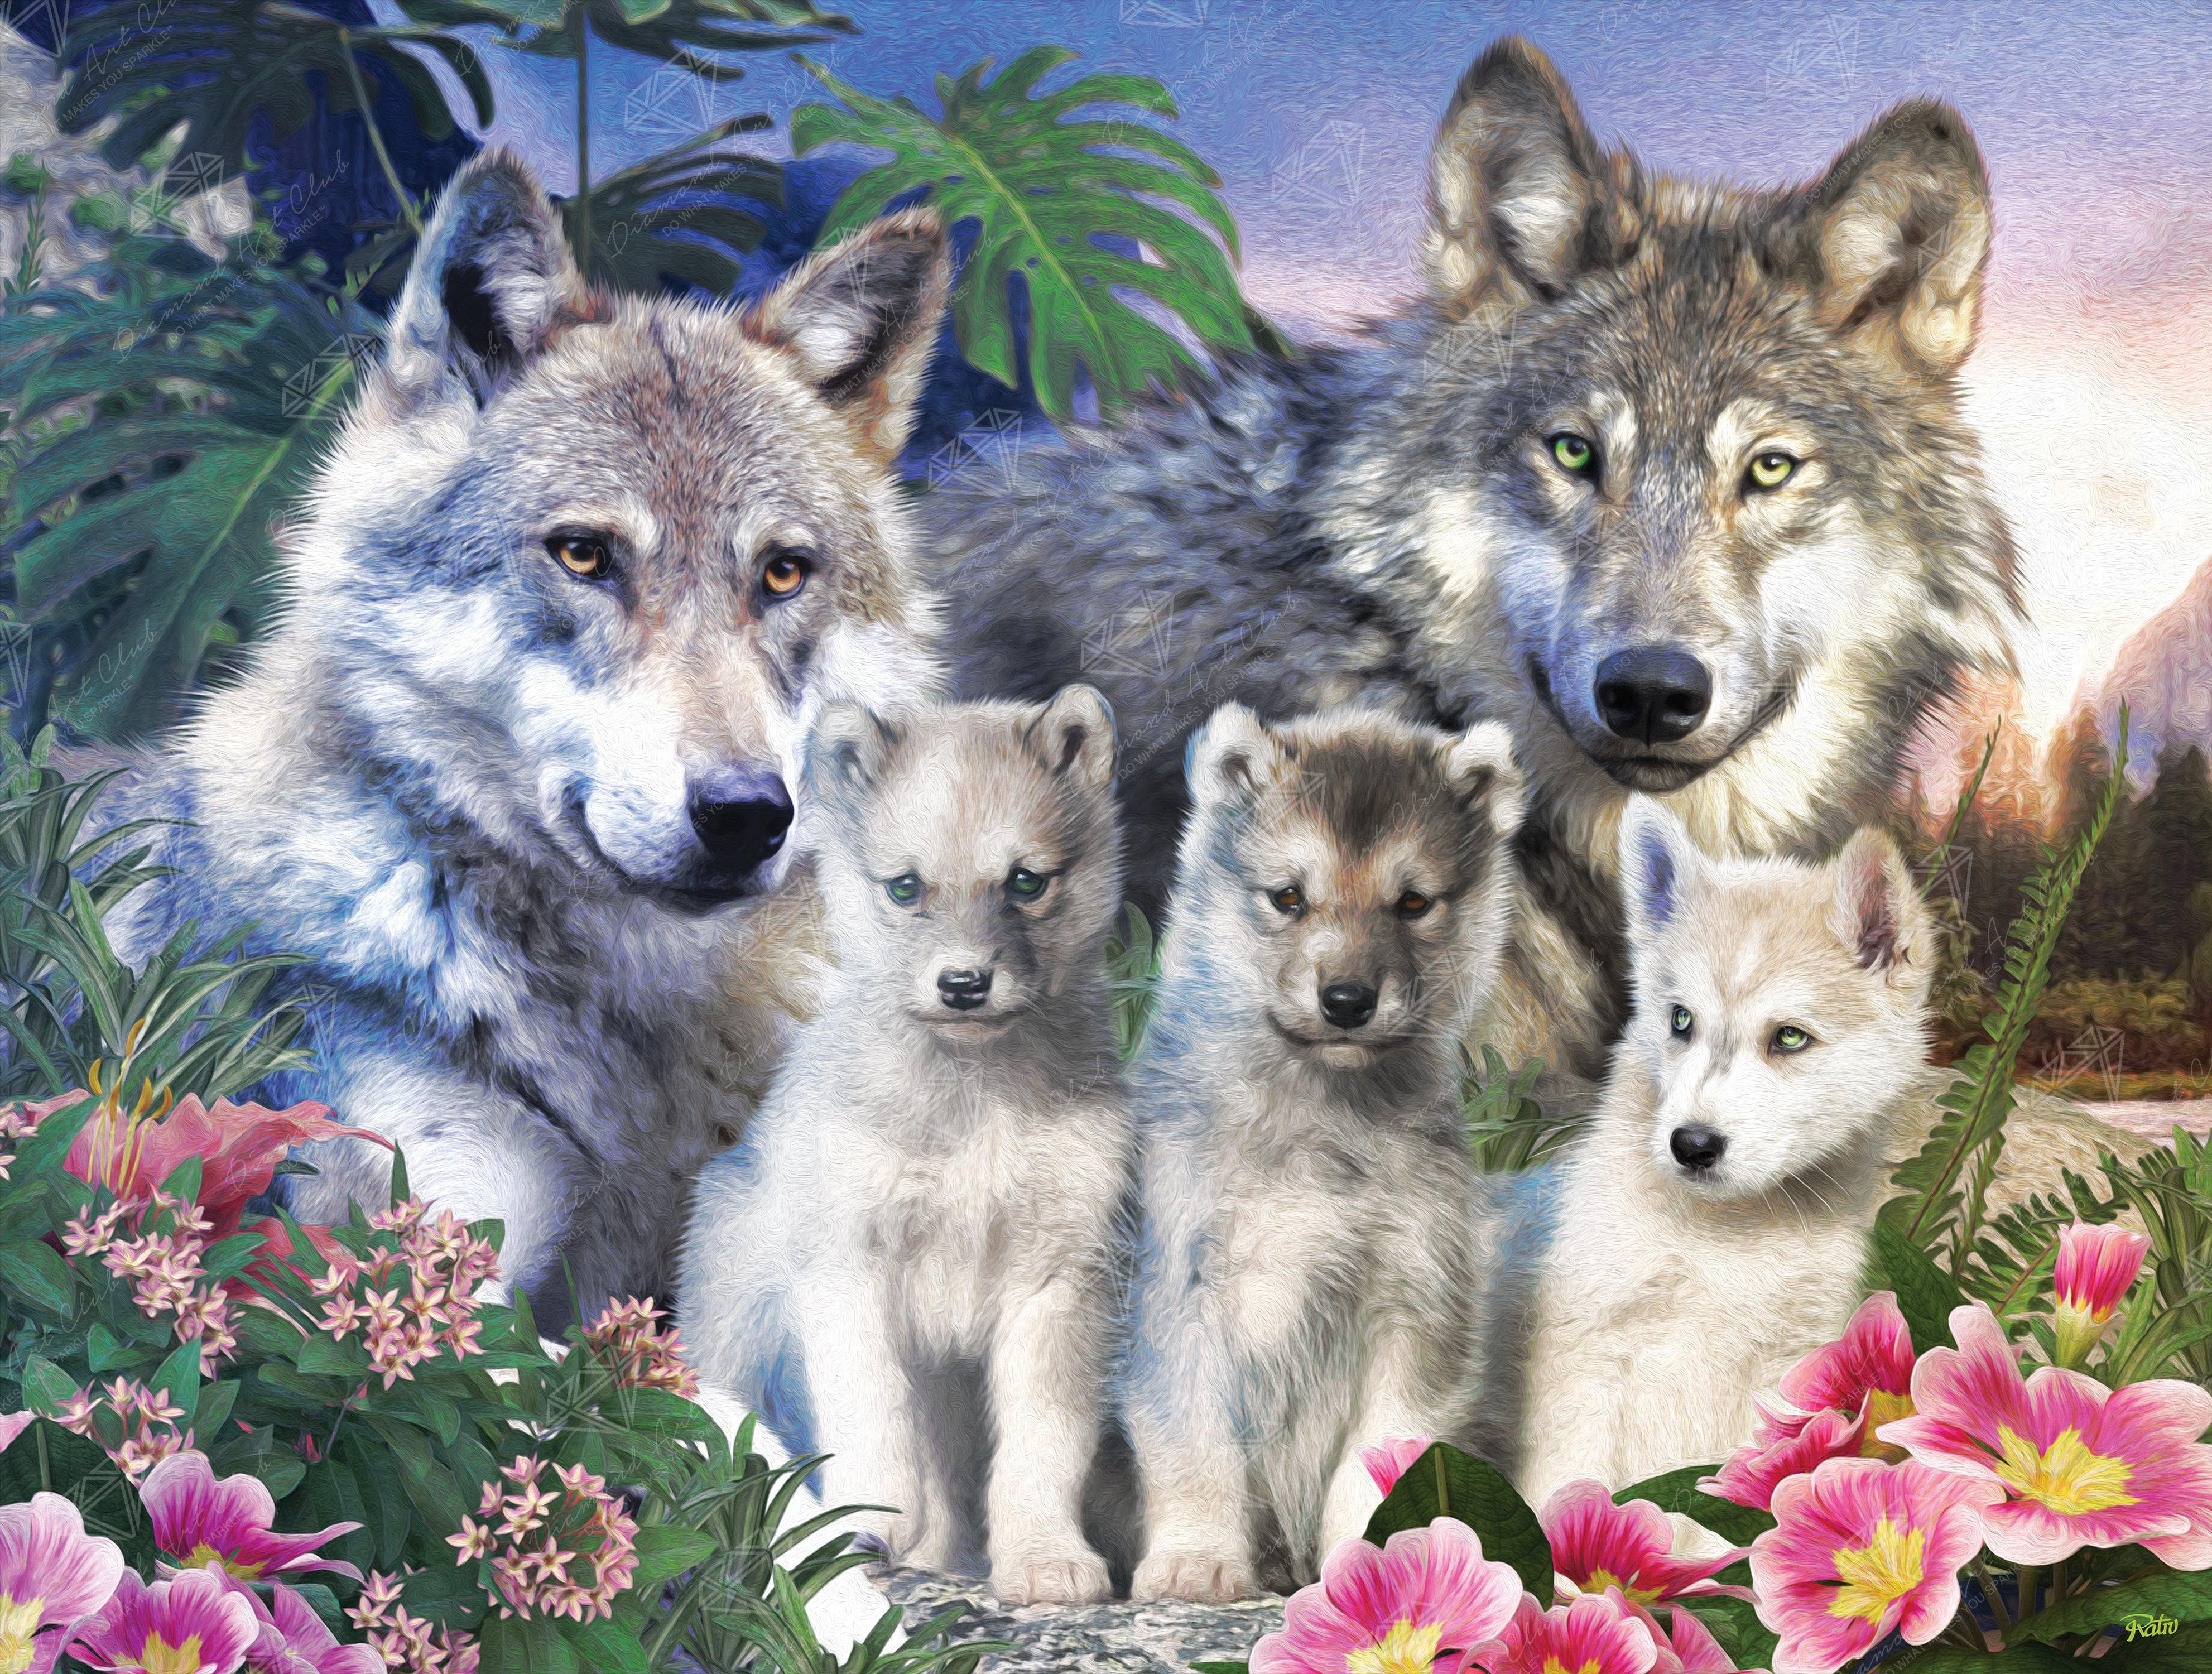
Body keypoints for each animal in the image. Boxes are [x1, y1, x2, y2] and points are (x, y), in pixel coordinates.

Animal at [679, 687, 1132, 1606]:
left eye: (1025, 881)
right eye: (905, 888)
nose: (963, 985)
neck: (971, 1103)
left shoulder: (1058, 1281)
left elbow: (1042, 1444)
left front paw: (1045, 1559)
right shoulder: (851, 1273)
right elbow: (872, 1422)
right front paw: (858, 1534)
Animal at [1125, 704, 1523, 1602]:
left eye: (1412, 903)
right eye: (1287, 897)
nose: (1347, 1000)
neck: (1320, 1116)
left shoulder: (1416, 1304)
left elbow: (1377, 1463)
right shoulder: (1175, 1289)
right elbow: (1192, 1441)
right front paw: (1197, 1558)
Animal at [1501, 798, 1936, 1507]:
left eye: (1789, 1037)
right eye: (1681, 1020)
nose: (1692, 1145)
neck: (1723, 1243)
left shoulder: (1783, 1372)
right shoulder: (1585, 1356)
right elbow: (1568, 1487)